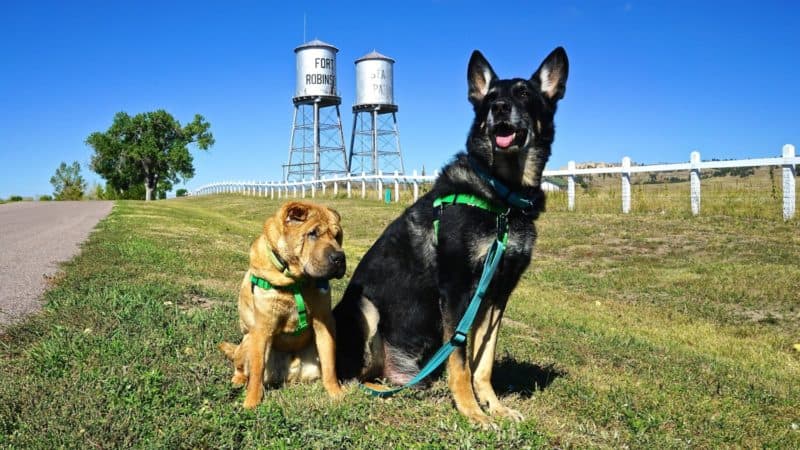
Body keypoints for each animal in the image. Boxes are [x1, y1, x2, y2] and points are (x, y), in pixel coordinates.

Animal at [332, 48, 568, 426]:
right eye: (489, 98)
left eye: (523, 93)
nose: (499, 108)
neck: (502, 197)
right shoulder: (457, 292)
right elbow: (459, 362)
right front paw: (472, 412)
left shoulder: (497, 295)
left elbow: (482, 363)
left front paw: (495, 406)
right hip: (364, 308)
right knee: (355, 375)